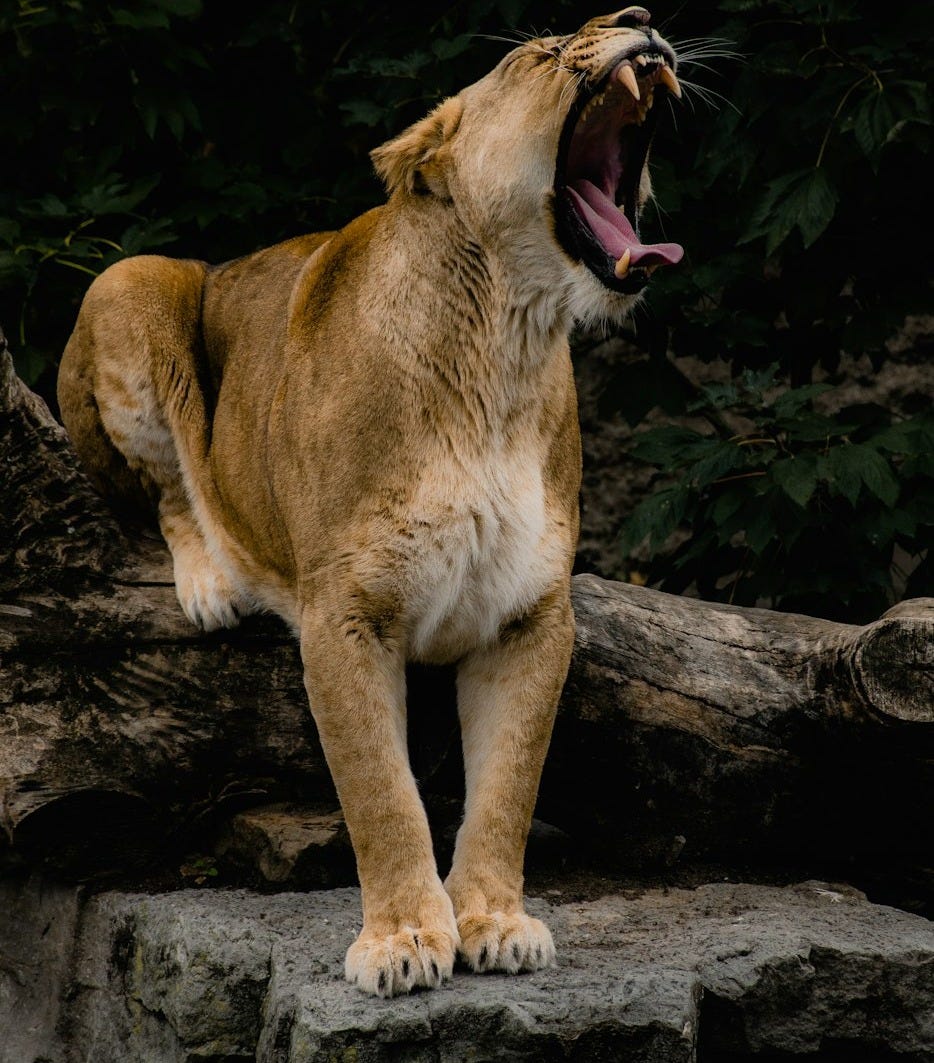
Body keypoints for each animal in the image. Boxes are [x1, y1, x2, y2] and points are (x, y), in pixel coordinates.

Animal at [57, 7, 682, 996]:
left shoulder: (531, 617)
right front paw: (403, 940)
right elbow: (382, 792)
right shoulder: (342, 613)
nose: (640, 18)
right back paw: (210, 583)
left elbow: (508, 785)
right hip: (132, 280)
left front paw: (494, 920)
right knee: (169, 489)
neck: (505, 343)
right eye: (541, 54)